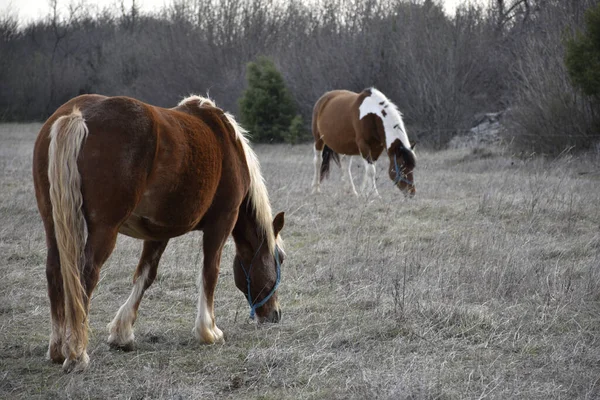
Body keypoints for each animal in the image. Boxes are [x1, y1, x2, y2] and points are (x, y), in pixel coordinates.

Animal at [32, 93, 286, 372]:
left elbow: (145, 276)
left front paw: (122, 333)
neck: (227, 140)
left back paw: (58, 349)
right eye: (280, 258)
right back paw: (77, 354)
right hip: (104, 230)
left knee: (55, 272)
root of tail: (78, 114)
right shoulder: (221, 223)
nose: (275, 314)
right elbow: (210, 273)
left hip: (53, 224)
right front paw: (209, 331)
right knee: (86, 275)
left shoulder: (158, 232)